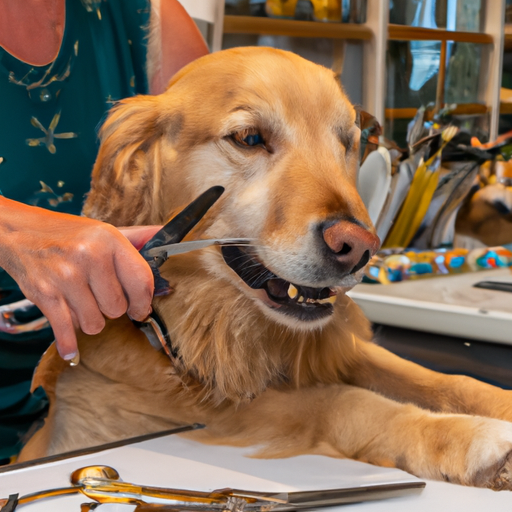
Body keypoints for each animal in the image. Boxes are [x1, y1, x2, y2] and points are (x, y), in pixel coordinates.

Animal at [20, 47, 512, 488]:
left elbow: (450, 380)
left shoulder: (339, 348)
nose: (360, 247)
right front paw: (473, 440)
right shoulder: (211, 408)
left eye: (347, 143)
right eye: (250, 138)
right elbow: (341, 402)